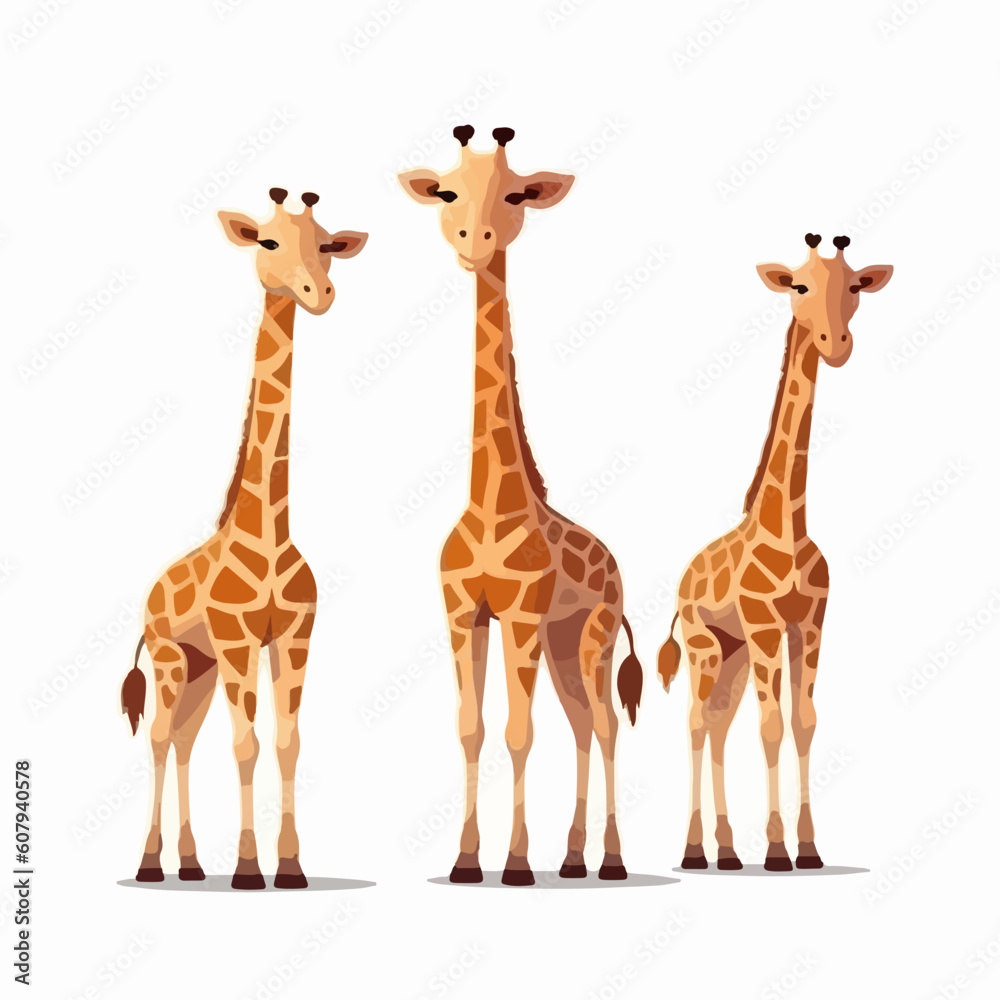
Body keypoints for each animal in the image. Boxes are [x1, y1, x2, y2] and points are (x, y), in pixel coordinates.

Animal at [119, 188, 367, 889]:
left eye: (327, 244)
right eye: (269, 242)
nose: (320, 292)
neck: (271, 532)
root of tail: (149, 596)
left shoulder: (294, 634)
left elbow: (286, 742)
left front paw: (291, 866)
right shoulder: (235, 637)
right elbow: (247, 743)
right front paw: (252, 869)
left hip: (200, 668)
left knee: (183, 741)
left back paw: (191, 863)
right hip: (174, 660)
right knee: (160, 738)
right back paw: (150, 864)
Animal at [399, 126, 643, 886]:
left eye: (514, 195)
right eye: (447, 192)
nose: (471, 239)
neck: (490, 508)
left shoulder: (522, 614)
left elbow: (517, 731)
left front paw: (512, 863)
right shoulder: (463, 613)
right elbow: (472, 728)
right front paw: (464, 859)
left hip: (591, 637)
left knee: (604, 725)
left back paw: (609, 859)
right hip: (565, 644)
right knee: (582, 726)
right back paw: (573, 856)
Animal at [657, 233, 892, 871]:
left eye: (855, 287)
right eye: (799, 286)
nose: (837, 345)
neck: (785, 526)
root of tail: (682, 582)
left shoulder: (808, 623)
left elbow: (803, 722)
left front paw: (807, 847)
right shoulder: (766, 624)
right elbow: (771, 726)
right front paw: (779, 849)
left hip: (734, 654)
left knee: (718, 725)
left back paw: (726, 850)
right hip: (706, 647)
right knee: (696, 723)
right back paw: (695, 850)